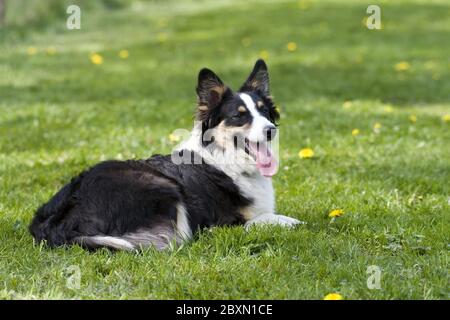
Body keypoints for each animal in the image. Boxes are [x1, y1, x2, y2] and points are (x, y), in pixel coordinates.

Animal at [29, 59, 302, 250]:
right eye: (239, 116)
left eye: (264, 112)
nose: (271, 130)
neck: (225, 162)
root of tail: (56, 223)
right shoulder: (222, 221)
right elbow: (266, 219)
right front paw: (291, 222)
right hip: (161, 185)